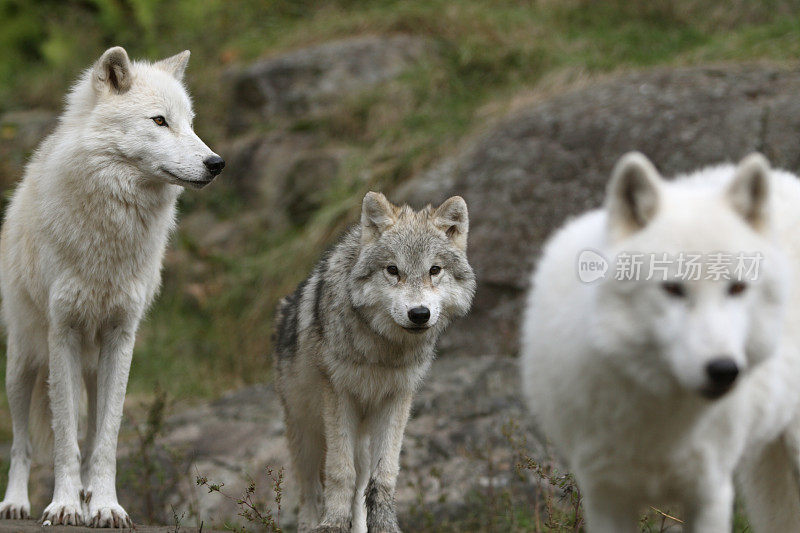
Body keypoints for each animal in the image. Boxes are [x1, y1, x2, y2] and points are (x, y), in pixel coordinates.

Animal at [0, 47, 225, 524]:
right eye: (159, 121)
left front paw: (104, 506)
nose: (216, 164)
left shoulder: (121, 338)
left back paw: (88, 498)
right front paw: (64, 505)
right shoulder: (62, 334)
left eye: (190, 122)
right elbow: (64, 439)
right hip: (23, 365)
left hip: (91, 365)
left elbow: (105, 438)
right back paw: (16, 502)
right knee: (22, 443)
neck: (112, 232)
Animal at [276, 192, 476, 532]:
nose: (419, 314)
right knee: (310, 490)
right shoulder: (339, 395)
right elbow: (339, 473)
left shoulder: (398, 398)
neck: (383, 351)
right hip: (307, 433)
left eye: (434, 270)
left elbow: (384, 476)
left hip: (362, 439)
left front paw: (385, 525)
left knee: (360, 484)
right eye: (392, 270)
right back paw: (311, 522)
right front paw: (332, 524)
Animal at [520, 152, 800, 528]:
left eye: (737, 288)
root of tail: (788, 179)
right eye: (672, 288)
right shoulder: (605, 495)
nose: (723, 369)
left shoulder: (710, 492)